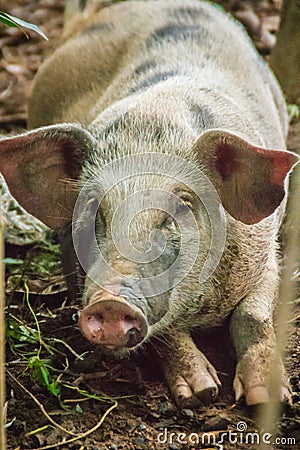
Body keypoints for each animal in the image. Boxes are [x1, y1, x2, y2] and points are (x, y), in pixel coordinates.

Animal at [0, 0, 298, 408]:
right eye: (92, 204)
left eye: (183, 204)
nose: (111, 302)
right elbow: (164, 334)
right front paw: (200, 393)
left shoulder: (267, 253)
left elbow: (253, 316)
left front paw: (267, 399)